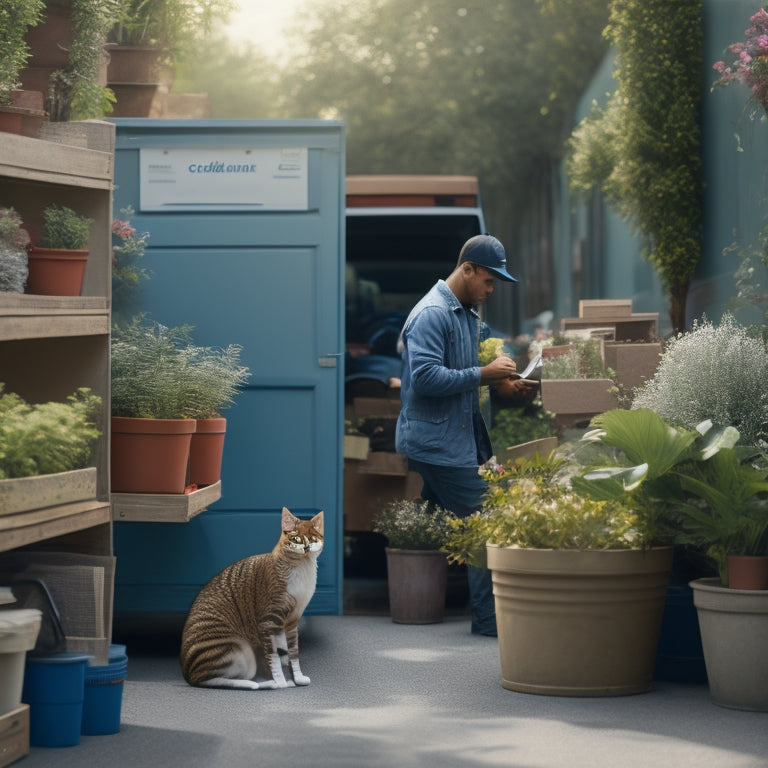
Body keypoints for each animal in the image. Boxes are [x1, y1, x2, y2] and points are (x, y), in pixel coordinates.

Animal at [180, 504, 324, 688]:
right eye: (297, 539)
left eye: (312, 540)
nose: (306, 548)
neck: (301, 569)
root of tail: (186, 673)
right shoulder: (268, 621)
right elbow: (274, 657)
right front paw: (280, 681)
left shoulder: (292, 621)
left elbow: (292, 653)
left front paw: (297, 677)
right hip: (239, 652)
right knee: (208, 679)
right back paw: (264, 684)